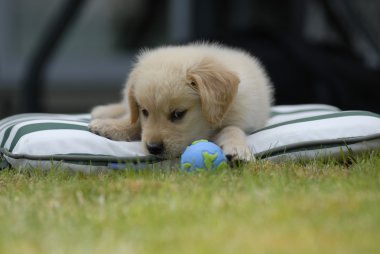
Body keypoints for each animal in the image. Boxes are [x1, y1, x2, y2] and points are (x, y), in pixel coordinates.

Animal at [89, 41, 274, 161]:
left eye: (178, 114)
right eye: (144, 111)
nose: (153, 148)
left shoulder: (243, 117)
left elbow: (232, 129)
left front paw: (238, 150)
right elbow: (134, 122)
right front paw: (110, 126)